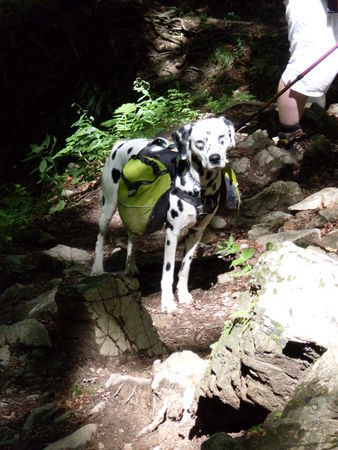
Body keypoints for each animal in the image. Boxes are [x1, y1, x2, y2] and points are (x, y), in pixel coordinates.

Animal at [91, 116, 236, 312]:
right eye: (199, 142)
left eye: (222, 137)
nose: (215, 158)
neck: (200, 187)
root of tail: (120, 143)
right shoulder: (172, 233)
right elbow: (168, 271)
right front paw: (167, 302)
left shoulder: (196, 233)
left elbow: (184, 268)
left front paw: (183, 294)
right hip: (108, 207)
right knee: (100, 237)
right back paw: (97, 268)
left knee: (132, 235)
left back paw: (130, 265)